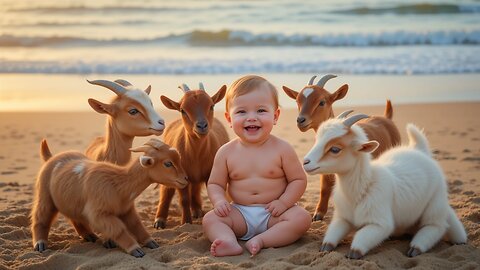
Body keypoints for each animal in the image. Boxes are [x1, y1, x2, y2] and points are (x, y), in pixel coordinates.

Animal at [30, 139, 188, 258]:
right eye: (168, 163)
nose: (185, 179)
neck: (118, 185)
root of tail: (51, 157)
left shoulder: (126, 209)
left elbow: (136, 225)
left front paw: (151, 242)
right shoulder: (99, 213)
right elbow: (118, 229)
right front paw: (135, 249)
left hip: (69, 201)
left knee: (74, 218)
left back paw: (89, 236)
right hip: (44, 195)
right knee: (41, 217)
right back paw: (40, 244)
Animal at [154, 82, 229, 228]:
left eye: (211, 106)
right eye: (183, 110)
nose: (202, 125)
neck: (196, 155)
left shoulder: (209, 172)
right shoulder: (181, 175)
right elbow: (184, 199)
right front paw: (186, 222)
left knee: (195, 188)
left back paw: (197, 211)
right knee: (166, 190)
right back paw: (159, 220)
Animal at [282, 73, 402, 219]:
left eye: (322, 102)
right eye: (297, 101)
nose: (300, 120)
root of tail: (386, 118)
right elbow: (324, 187)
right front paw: (318, 214)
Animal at [304, 112, 464, 260]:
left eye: (335, 149)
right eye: (317, 140)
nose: (305, 162)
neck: (364, 186)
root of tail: (420, 151)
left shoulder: (380, 224)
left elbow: (360, 239)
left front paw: (353, 253)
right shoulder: (343, 218)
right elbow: (331, 235)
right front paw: (325, 247)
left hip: (435, 202)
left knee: (437, 225)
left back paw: (417, 247)